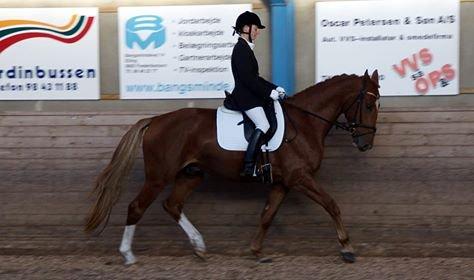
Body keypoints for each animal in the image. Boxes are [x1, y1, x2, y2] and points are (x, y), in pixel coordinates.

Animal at [85, 70, 382, 264]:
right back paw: (128, 255)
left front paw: (256, 251)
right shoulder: (300, 177)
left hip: (191, 174)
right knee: (137, 207)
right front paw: (347, 247)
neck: (305, 122)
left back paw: (200, 247)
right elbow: (332, 205)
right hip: (159, 176)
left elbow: (267, 214)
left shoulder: (283, 182)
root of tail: (156, 120)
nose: (365, 144)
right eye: (368, 104)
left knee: (172, 205)